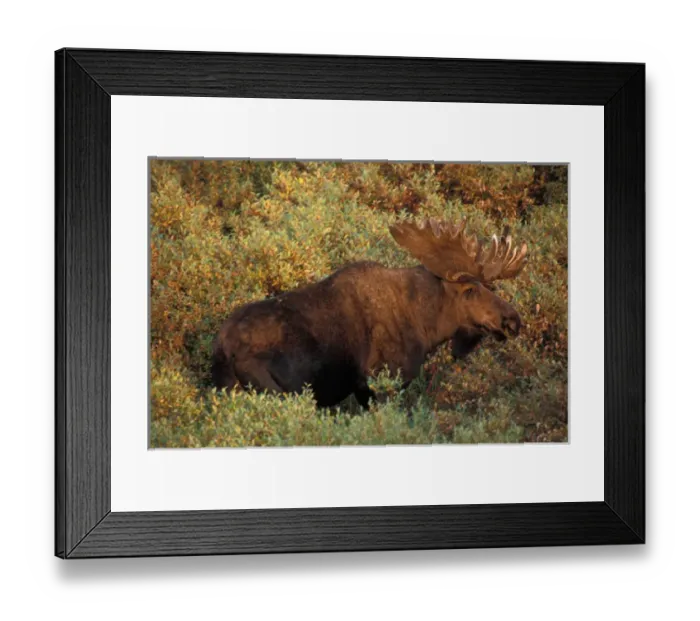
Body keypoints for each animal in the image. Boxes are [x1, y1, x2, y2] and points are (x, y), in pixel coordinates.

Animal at [212, 219, 528, 408]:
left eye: (489, 286)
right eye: (470, 289)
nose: (513, 321)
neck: (426, 325)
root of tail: (222, 348)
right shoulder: (382, 381)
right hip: (274, 391)